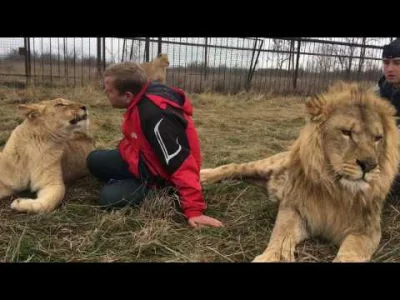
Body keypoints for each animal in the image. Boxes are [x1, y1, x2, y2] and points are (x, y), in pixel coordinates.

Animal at [200, 82, 400, 262]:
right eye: (346, 132)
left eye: (377, 138)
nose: (369, 165)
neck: (336, 190)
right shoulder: (294, 208)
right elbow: (281, 236)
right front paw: (273, 257)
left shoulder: (368, 229)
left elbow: (352, 251)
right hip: (267, 164)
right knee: (234, 166)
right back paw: (203, 176)